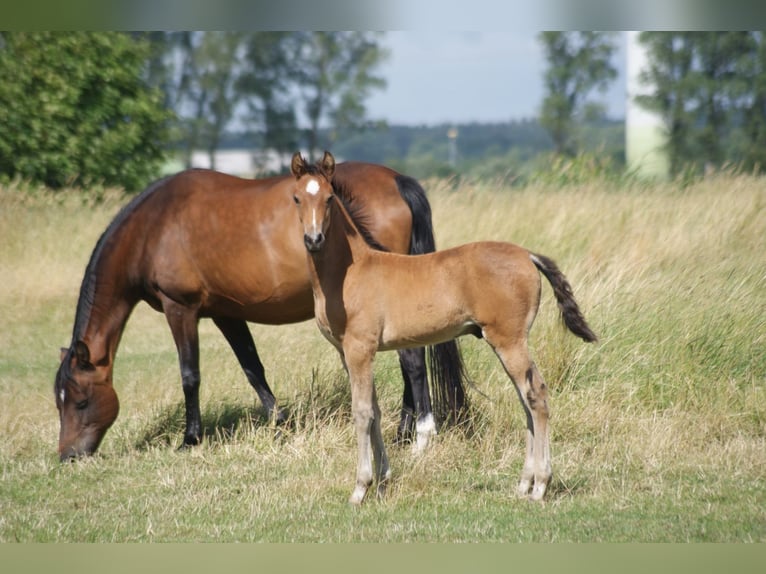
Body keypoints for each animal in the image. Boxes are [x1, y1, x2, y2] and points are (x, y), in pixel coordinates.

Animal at [54, 160, 468, 461]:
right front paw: (279, 422)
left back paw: (408, 433)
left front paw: (190, 438)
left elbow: (190, 375)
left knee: (411, 361)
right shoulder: (226, 312)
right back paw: (403, 432)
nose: (69, 455)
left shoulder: (180, 309)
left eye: (80, 400)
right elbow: (252, 367)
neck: (154, 226)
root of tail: (397, 180)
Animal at [290, 151, 597, 504]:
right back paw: (523, 484)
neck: (352, 270)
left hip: (510, 341)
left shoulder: (360, 350)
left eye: (329, 198)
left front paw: (361, 488)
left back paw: (540, 486)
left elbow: (363, 412)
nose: (314, 239)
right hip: (506, 343)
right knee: (527, 399)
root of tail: (528, 256)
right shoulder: (347, 352)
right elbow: (376, 411)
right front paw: (383, 482)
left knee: (537, 396)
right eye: (296, 197)